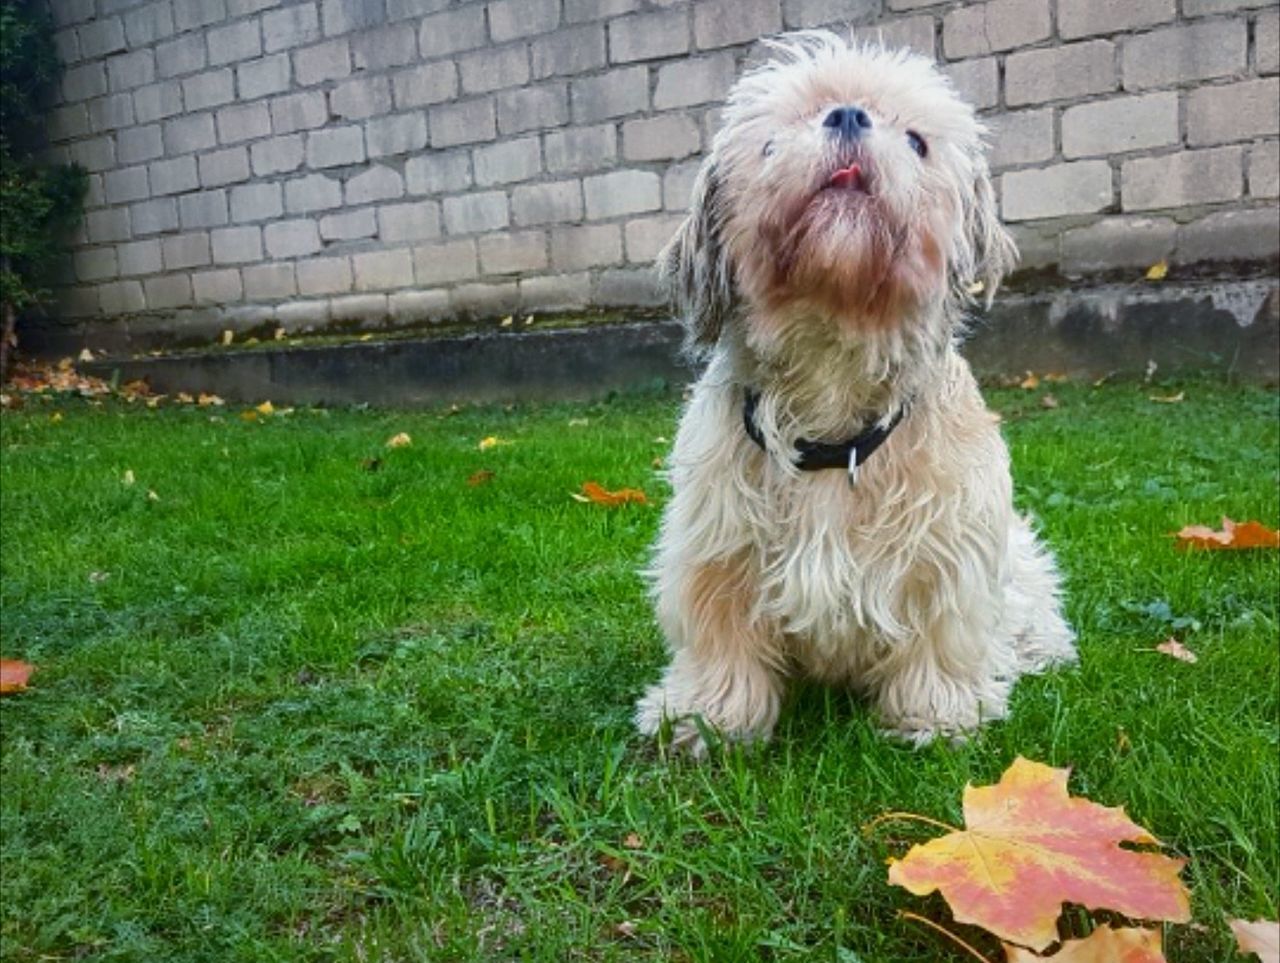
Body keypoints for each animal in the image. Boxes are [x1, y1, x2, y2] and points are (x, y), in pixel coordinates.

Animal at [634, 30, 1075, 758]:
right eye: (772, 142)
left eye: (918, 141)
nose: (846, 114)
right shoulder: (715, 551)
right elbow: (720, 641)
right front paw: (706, 717)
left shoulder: (950, 552)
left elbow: (941, 638)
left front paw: (936, 715)